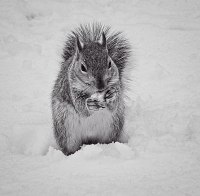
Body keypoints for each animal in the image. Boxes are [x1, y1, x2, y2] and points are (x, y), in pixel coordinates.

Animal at [51, 22, 131, 155]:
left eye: (110, 63)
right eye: (83, 67)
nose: (101, 86)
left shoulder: (116, 84)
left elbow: (114, 105)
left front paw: (112, 96)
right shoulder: (70, 89)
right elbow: (80, 107)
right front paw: (89, 105)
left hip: (112, 127)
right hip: (66, 132)